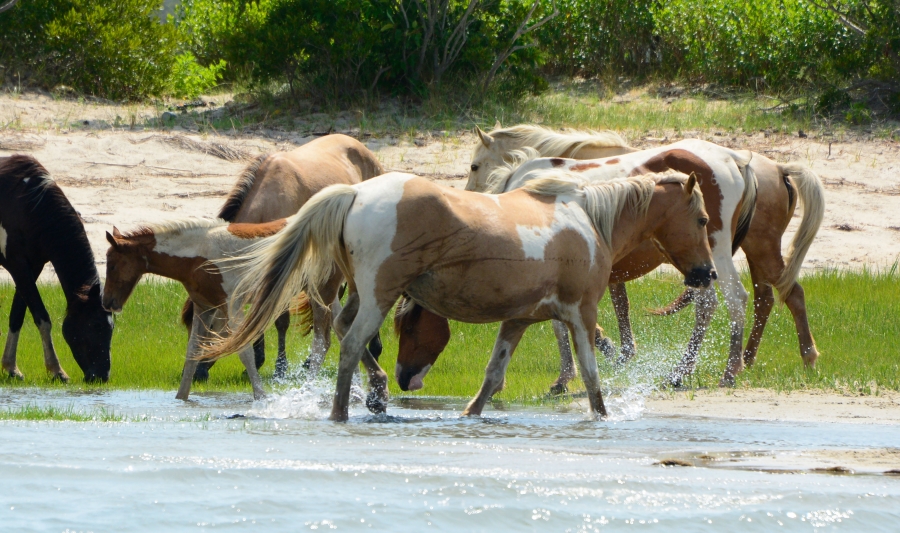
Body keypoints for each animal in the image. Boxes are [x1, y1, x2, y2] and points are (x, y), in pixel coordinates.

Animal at [0, 155, 113, 382]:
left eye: (111, 326)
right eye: (96, 324)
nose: (102, 375)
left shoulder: (33, 267)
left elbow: (17, 315)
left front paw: (11, 368)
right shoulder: (18, 265)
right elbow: (41, 316)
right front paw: (56, 370)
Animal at [185, 133, 385, 382]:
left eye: (211, 326)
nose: (196, 372)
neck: (269, 203)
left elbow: (281, 320)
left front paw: (280, 367)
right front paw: (258, 359)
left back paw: (372, 350)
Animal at [201, 170, 716, 421]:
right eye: (702, 219)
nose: (706, 273)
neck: (589, 221)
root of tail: (356, 192)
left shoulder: (518, 320)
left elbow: (492, 377)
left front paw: (471, 416)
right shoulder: (581, 313)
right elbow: (591, 377)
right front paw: (603, 418)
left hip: (366, 296)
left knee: (346, 334)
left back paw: (379, 393)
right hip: (379, 295)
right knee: (349, 346)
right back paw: (342, 411)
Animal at [466, 126, 824, 387]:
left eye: (473, 165)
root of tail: (736, 159)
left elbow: (567, 322)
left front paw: (574, 371)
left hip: (720, 255)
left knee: (736, 300)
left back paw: (727, 369)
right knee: (757, 298)